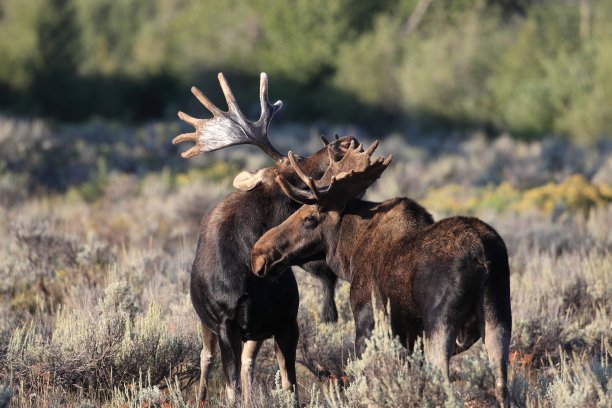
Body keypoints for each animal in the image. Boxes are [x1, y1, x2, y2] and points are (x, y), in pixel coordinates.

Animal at [171, 73, 358, 404]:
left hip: (256, 332)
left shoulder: (285, 321)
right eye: (297, 162)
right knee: (206, 361)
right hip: (207, 325)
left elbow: (290, 386)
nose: (346, 140)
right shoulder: (226, 325)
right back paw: (201, 397)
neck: (249, 272)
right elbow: (230, 389)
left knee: (249, 364)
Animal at [251, 142, 512, 406]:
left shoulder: (367, 323)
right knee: (501, 384)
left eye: (309, 218)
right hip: (498, 318)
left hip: (440, 322)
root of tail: (481, 252)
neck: (349, 254)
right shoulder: (411, 339)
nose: (258, 254)